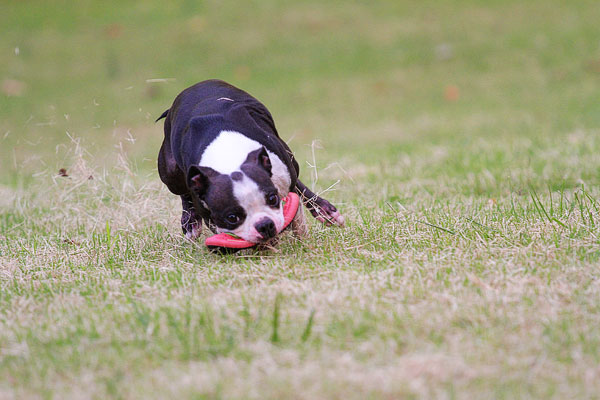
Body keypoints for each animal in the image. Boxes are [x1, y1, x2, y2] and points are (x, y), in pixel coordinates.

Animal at [156, 79, 342, 242]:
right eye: (232, 217)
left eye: (272, 199)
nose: (265, 225)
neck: (229, 157)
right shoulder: (212, 216)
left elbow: (297, 218)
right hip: (170, 174)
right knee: (183, 192)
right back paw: (191, 222)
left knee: (298, 184)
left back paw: (324, 211)